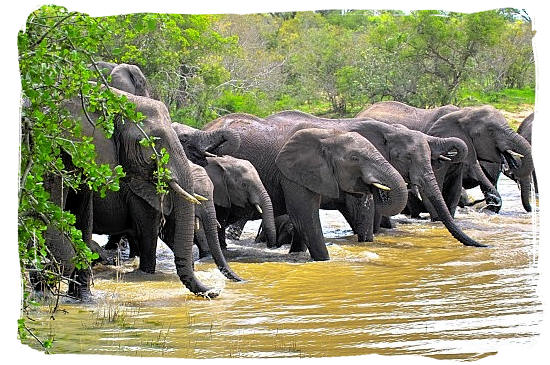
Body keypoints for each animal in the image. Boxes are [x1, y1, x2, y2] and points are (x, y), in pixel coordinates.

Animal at [204, 114, 410, 258]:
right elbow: (304, 215)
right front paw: (325, 261)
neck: (328, 133)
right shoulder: (289, 173)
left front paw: (296, 254)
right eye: (354, 158)